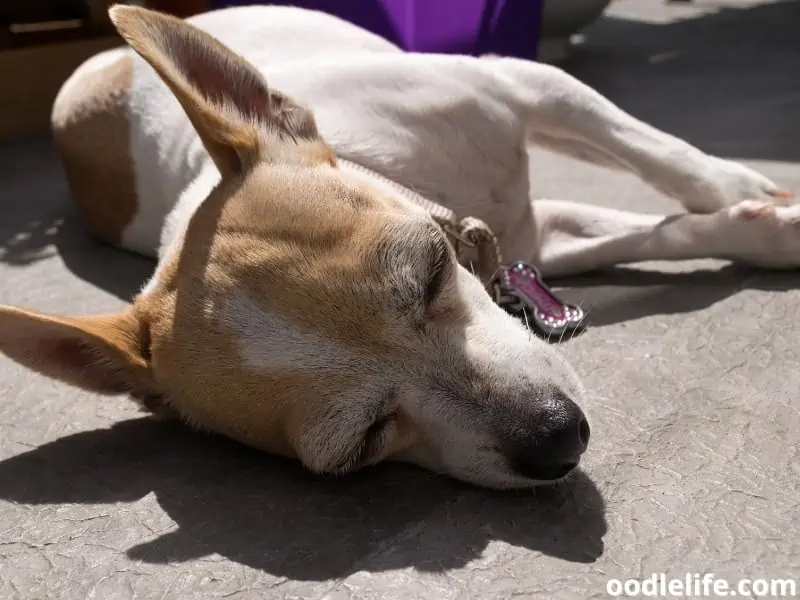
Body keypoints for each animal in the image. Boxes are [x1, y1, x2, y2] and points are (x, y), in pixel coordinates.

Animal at [1, 5, 800, 488]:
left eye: (431, 271)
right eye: (365, 441)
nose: (553, 439)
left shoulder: (527, 81)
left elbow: (666, 159)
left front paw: (753, 192)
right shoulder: (538, 240)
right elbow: (661, 227)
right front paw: (763, 225)